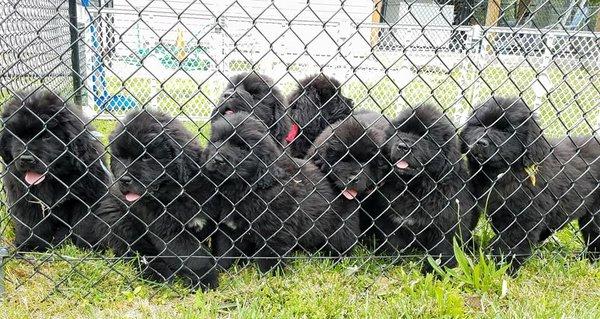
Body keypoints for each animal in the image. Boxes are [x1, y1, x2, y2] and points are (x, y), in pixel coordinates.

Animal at [0, 90, 110, 252]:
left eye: (46, 136)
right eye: (17, 136)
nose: (26, 159)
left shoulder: (90, 195)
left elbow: (86, 223)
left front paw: (90, 246)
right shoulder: (24, 198)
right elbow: (31, 224)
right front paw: (33, 246)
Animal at [97, 111, 219, 292]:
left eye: (146, 157)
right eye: (120, 157)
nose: (123, 179)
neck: (177, 193)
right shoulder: (169, 233)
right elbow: (194, 258)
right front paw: (205, 281)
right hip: (119, 221)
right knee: (137, 252)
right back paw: (159, 274)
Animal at [202, 112, 360, 272]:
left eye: (242, 148)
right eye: (217, 141)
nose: (217, 159)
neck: (248, 187)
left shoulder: (275, 231)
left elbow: (270, 256)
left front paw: (270, 275)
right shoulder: (228, 228)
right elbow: (224, 250)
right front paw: (219, 268)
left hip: (342, 227)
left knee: (342, 244)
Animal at [380, 106, 478, 272]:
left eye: (425, 138)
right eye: (400, 132)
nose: (403, 146)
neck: (415, 188)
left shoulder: (445, 224)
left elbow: (442, 251)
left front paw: (437, 271)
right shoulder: (391, 221)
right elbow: (394, 243)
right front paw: (392, 261)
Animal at [462, 97, 600, 272]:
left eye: (506, 131)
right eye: (479, 125)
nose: (480, 142)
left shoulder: (524, 218)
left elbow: (511, 244)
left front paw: (502, 268)